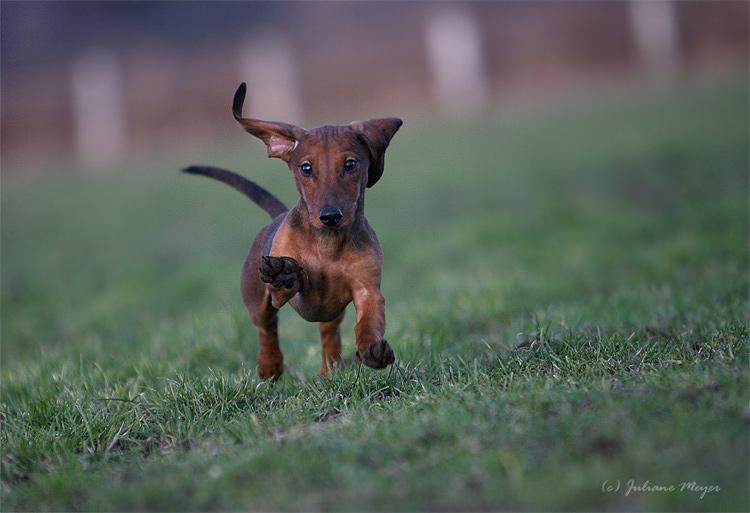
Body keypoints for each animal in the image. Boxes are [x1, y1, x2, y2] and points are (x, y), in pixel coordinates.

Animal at [184, 84, 402, 378]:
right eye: (306, 168)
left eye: (350, 165)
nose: (330, 216)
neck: (327, 244)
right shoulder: (283, 292)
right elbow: (293, 282)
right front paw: (285, 273)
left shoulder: (367, 289)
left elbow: (368, 321)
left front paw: (372, 350)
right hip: (256, 298)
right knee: (266, 327)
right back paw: (270, 365)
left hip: (332, 315)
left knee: (328, 332)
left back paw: (331, 369)